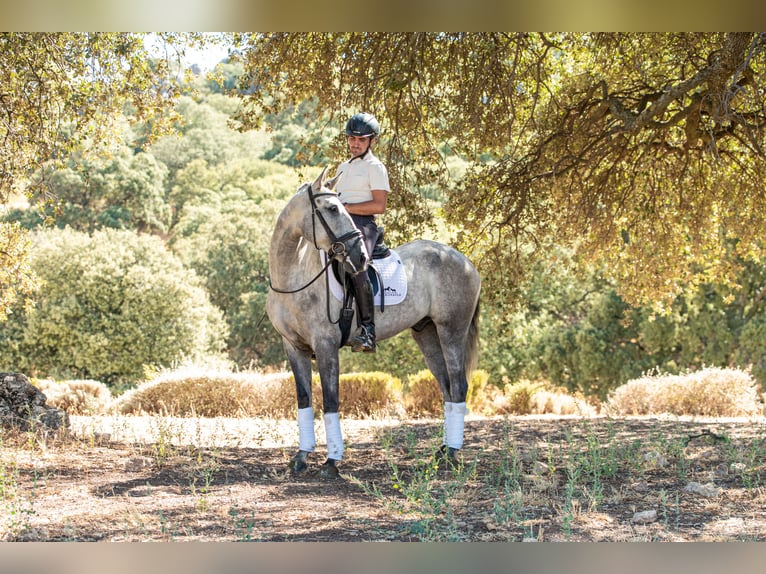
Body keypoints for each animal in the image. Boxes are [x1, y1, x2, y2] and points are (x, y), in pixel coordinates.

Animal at [268, 166, 480, 476]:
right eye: (332, 208)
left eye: (341, 206)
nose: (359, 257)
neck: (292, 278)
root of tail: (466, 261)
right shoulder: (293, 347)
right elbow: (304, 399)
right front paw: (301, 456)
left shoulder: (326, 345)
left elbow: (330, 400)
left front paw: (332, 461)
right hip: (427, 333)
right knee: (447, 388)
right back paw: (442, 450)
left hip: (451, 330)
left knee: (459, 384)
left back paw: (452, 452)